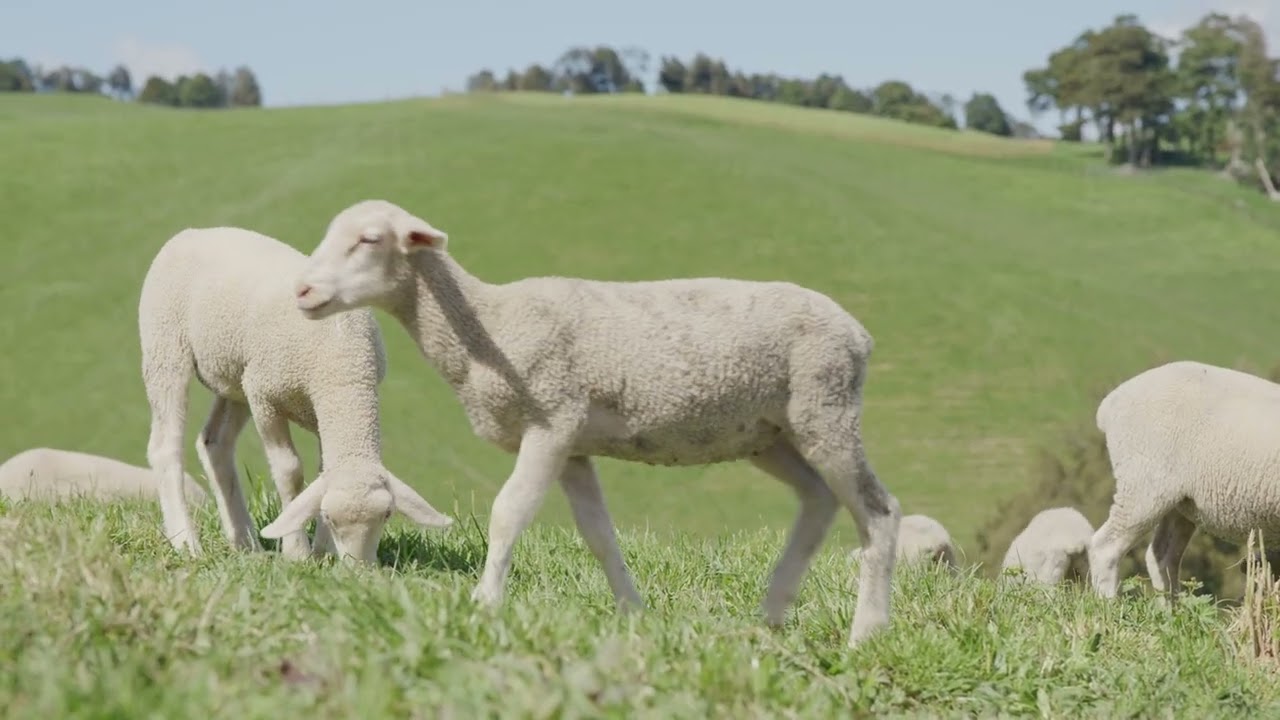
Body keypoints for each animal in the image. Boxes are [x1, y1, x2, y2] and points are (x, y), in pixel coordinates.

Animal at [137, 224, 454, 563]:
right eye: (329, 517)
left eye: (387, 515)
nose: (360, 570)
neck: (343, 367)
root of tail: (193, 232)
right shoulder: (265, 399)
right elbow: (290, 470)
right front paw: (297, 552)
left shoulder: (314, 408)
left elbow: (323, 471)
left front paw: (323, 551)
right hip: (166, 346)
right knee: (165, 446)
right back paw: (185, 541)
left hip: (236, 376)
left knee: (214, 443)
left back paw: (245, 542)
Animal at [275, 198, 903, 647]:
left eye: (369, 239)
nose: (301, 291)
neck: (491, 326)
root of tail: (859, 332)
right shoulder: (573, 445)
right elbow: (599, 534)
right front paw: (632, 612)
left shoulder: (552, 418)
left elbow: (508, 512)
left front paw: (485, 603)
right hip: (770, 433)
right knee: (818, 499)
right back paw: (771, 613)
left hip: (827, 407)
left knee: (879, 512)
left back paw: (865, 633)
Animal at [1089, 360, 1280, 599]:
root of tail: (1109, 405)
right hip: (1143, 484)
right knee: (1106, 547)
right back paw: (1108, 603)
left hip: (1180, 502)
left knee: (1162, 557)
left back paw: (1172, 607)